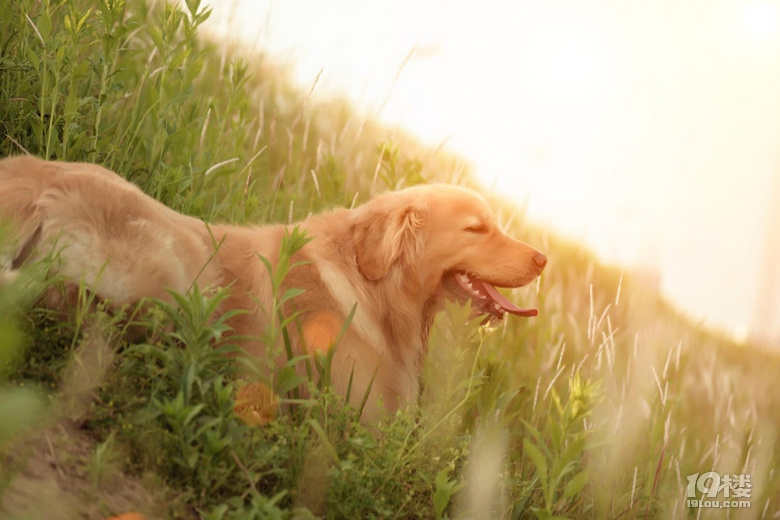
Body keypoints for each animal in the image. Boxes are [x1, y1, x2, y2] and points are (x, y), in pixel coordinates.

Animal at [0, 155, 544, 422]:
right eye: (477, 229)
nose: (542, 259)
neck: (376, 290)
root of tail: (32, 185)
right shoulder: (360, 418)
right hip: (180, 257)